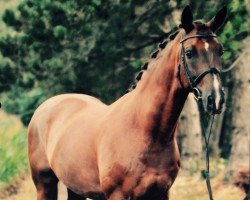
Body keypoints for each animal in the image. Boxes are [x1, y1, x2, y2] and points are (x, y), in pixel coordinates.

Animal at [28, 5, 228, 200]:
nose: (215, 99)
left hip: (76, 188)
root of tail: (46, 106)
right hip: (44, 185)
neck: (144, 129)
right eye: (189, 52)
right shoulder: (118, 195)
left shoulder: (161, 194)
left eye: (220, 51)